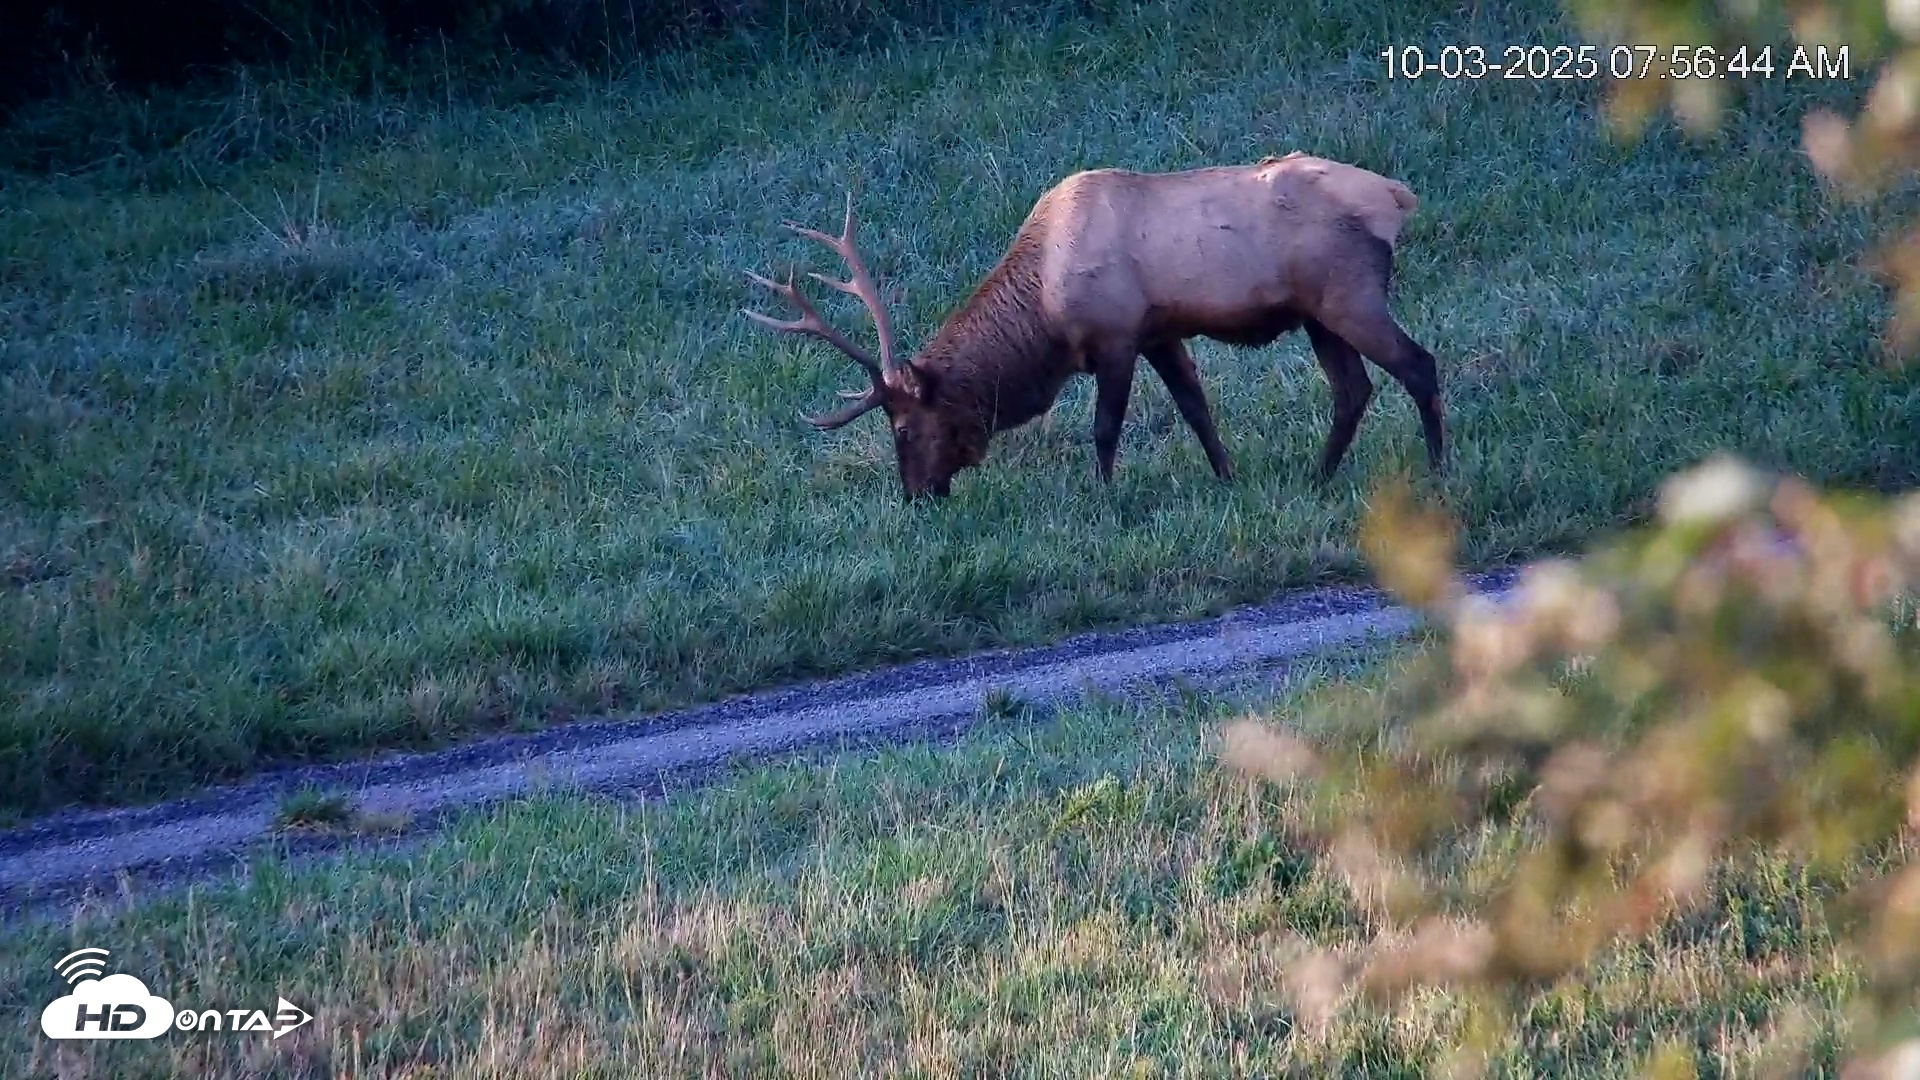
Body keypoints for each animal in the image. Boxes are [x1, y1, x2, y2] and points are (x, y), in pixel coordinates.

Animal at [741, 152, 1446, 500]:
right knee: (1352, 390)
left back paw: (1438, 471)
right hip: (1318, 313)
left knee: (1418, 364)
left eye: (906, 428)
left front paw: (1103, 500)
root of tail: (1397, 197)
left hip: (1350, 294)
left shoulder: (1115, 336)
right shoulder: (1160, 332)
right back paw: (1318, 477)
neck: (1043, 310)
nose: (916, 496)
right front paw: (1227, 478)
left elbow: (1105, 427)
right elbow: (1197, 409)